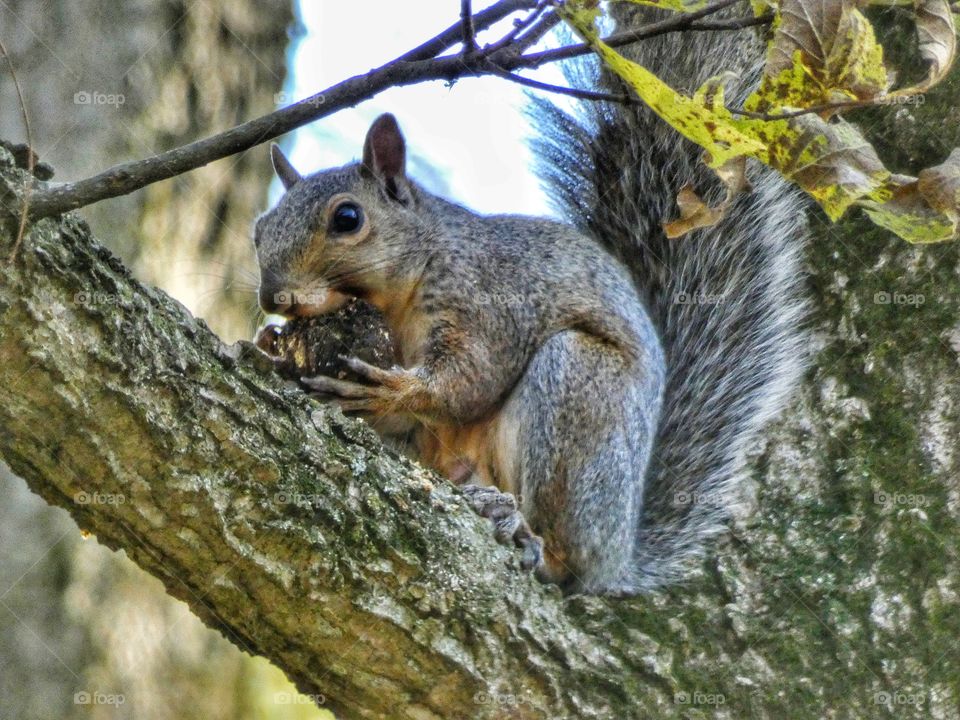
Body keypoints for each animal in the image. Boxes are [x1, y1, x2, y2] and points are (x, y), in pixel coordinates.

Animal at [251, 4, 808, 596]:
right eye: (259, 230)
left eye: (348, 218)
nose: (272, 296)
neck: (402, 292)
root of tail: (616, 558)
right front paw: (270, 342)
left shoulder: (491, 302)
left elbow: (471, 379)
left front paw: (396, 390)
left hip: (577, 395)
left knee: (561, 553)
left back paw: (525, 530)